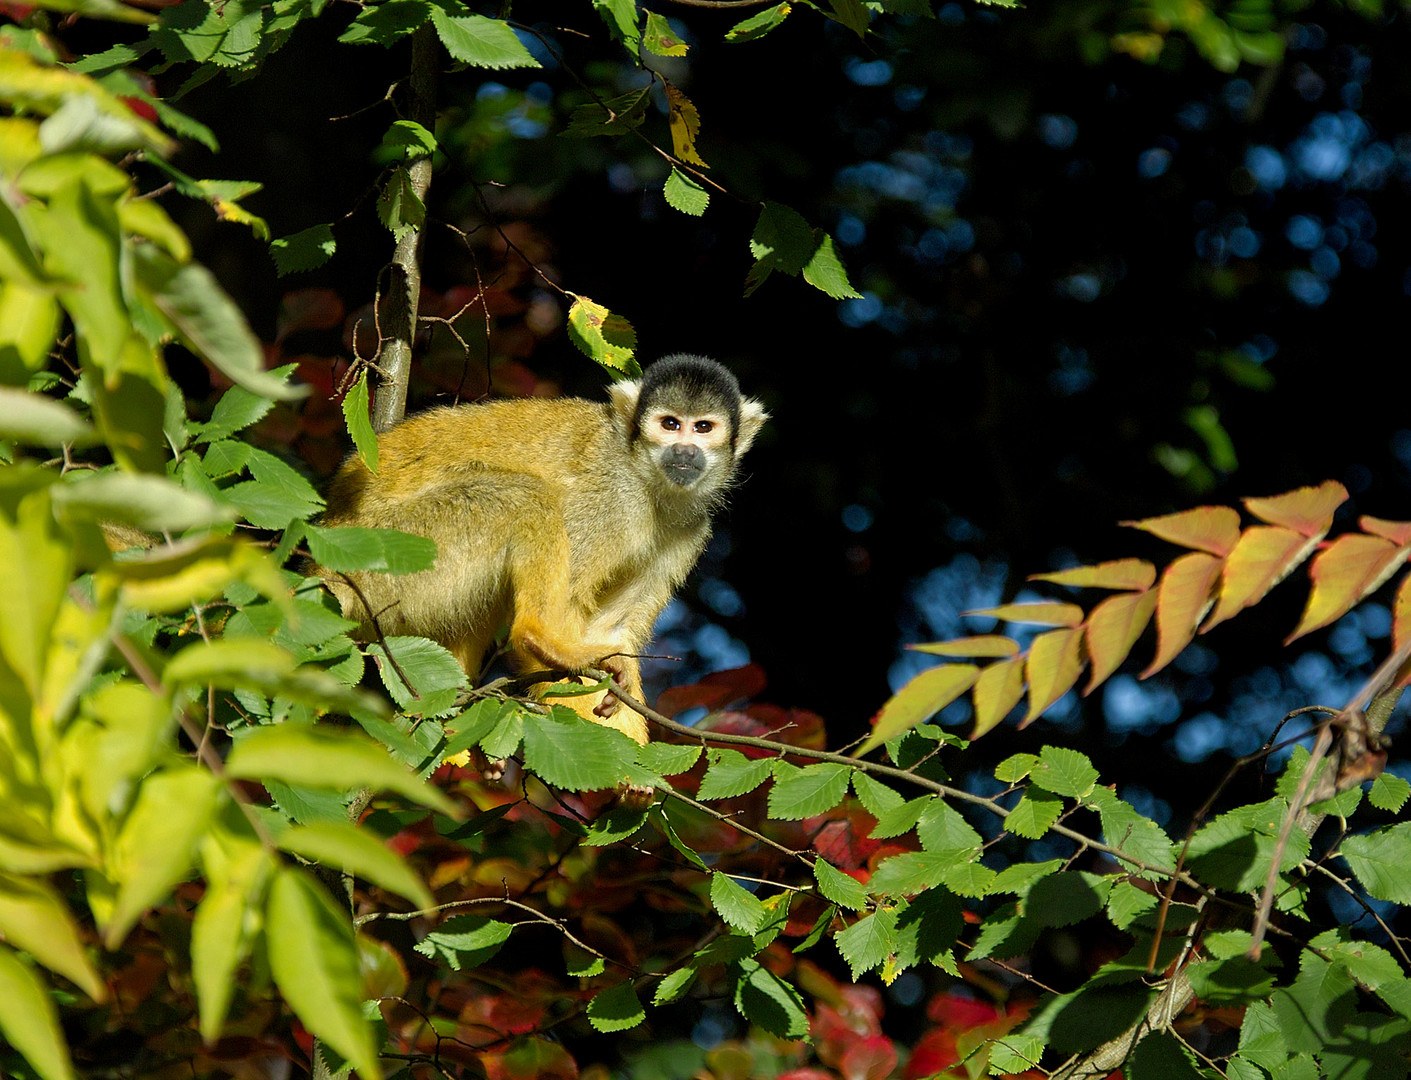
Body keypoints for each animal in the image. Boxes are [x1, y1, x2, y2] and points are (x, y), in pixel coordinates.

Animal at [318, 358, 767, 745]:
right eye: (670, 424)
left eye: (703, 427)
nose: (685, 451)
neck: (648, 481)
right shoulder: (609, 498)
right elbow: (570, 604)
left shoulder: (690, 530)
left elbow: (610, 630)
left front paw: (633, 775)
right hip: (391, 547)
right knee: (527, 496)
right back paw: (537, 637)